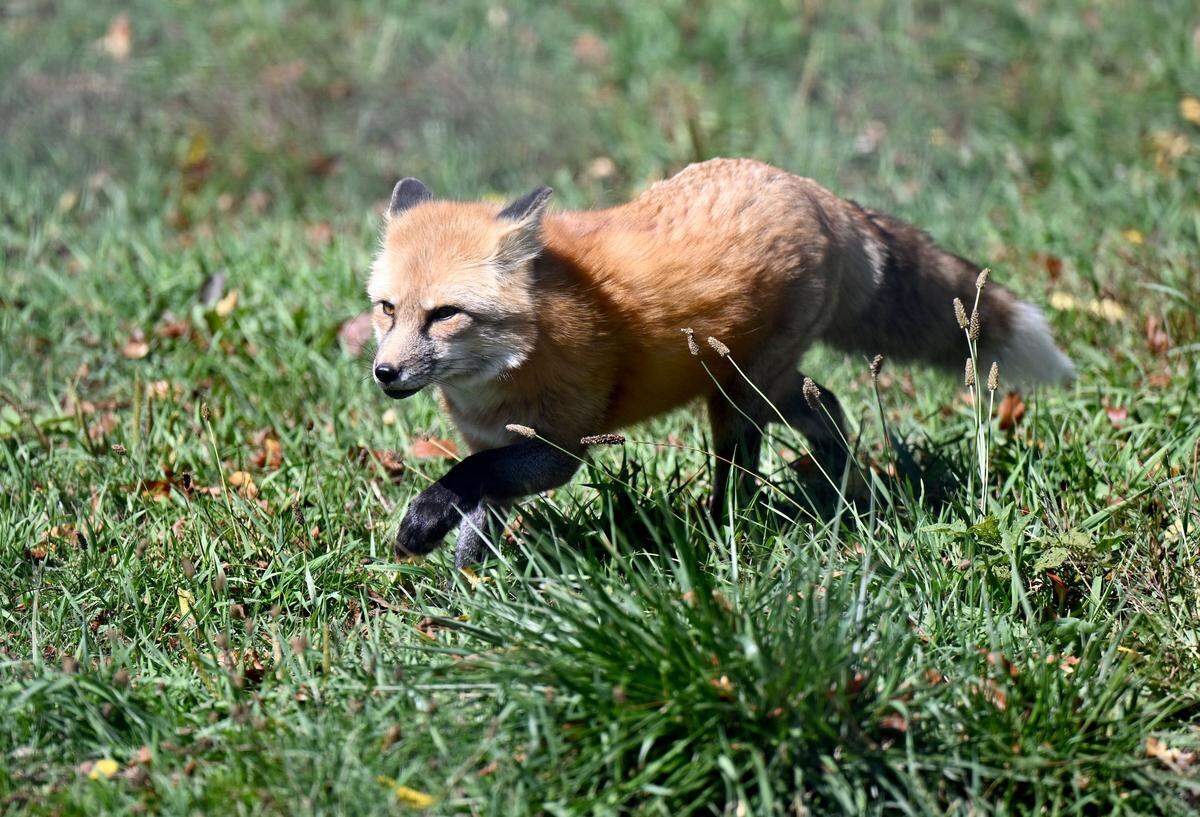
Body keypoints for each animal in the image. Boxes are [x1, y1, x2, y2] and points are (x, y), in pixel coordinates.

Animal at [366, 158, 1074, 567]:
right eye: (387, 310)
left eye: (445, 314)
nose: (384, 373)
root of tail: (813, 191)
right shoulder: (502, 446)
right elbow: (477, 511)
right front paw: (466, 591)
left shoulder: (557, 450)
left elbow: (466, 478)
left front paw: (422, 525)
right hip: (766, 384)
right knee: (831, 408)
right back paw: (836, 488)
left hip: (736, 394)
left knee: (751, 459)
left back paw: (727, 523)